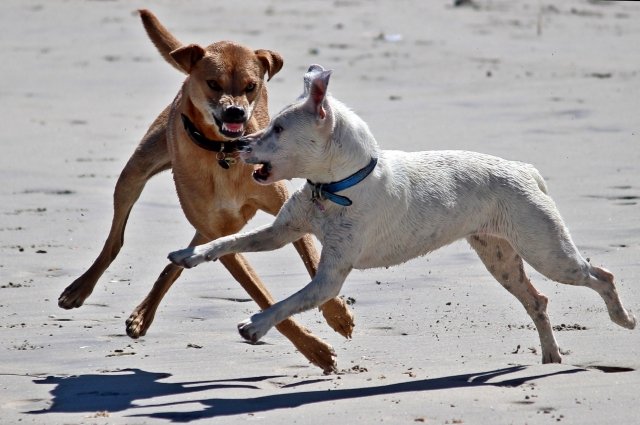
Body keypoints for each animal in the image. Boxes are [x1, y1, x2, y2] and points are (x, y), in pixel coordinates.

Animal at [57, 9, 352, 372]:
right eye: (213, 83)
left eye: (251, 87)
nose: (235, 111)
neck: (223, 153)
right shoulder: (221, 235)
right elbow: (261, 294)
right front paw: (315, 349)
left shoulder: (279, 212)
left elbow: (311, 258)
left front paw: (337, 314)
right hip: (136, 172)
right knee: (116, 239)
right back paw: (82, 289)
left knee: (180, 256)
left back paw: (143, 312)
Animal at [170, 64, 636, 362]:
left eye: (279, 129)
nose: (236, 145)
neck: (338, 186)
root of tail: (525, 169)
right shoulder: (282, 232)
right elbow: (227, 240)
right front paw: (189, 255)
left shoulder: (329, 279)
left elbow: (287, 303)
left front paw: (256, 325)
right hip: (500, 258)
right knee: (538, 300)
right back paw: (551, 356)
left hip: (548, 252)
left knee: (601, 275)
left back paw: (623, 319)